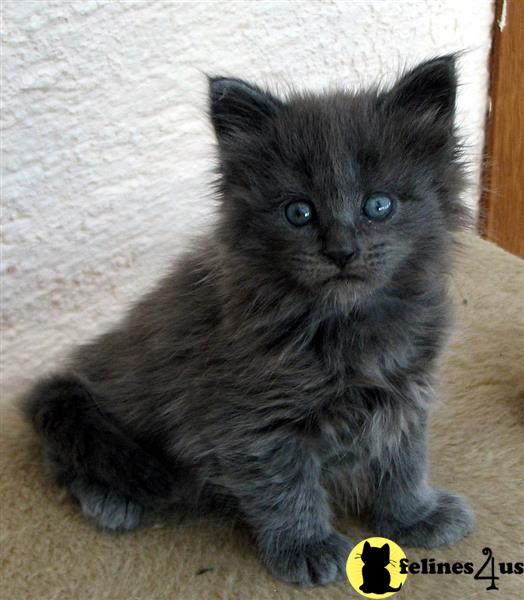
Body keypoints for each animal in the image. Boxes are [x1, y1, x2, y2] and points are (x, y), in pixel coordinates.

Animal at [25, 56, 474, 584]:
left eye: (378, 205)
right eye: (299, 212)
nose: (341, 251)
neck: (348, 330)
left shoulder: (405, 394)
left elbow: (403, 462)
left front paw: (414, 516)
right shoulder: (251, 420)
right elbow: (286, 488)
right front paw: (306, 547)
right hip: (103, 411)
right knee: (70, 454)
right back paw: (110, 499)